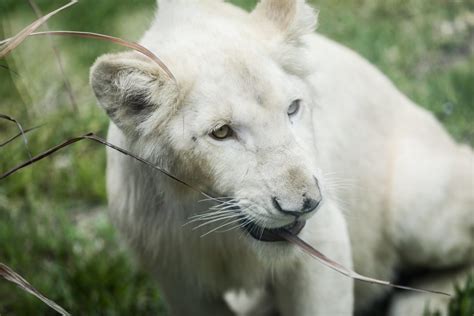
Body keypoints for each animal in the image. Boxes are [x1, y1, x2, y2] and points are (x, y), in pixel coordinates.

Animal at [90, 1, 472, 314]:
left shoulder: (324, 245)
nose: (305, 203)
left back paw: (419, 304)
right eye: (222, 132)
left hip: (417, 207)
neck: (221, 236)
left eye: (292, 108)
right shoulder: (177, 280)